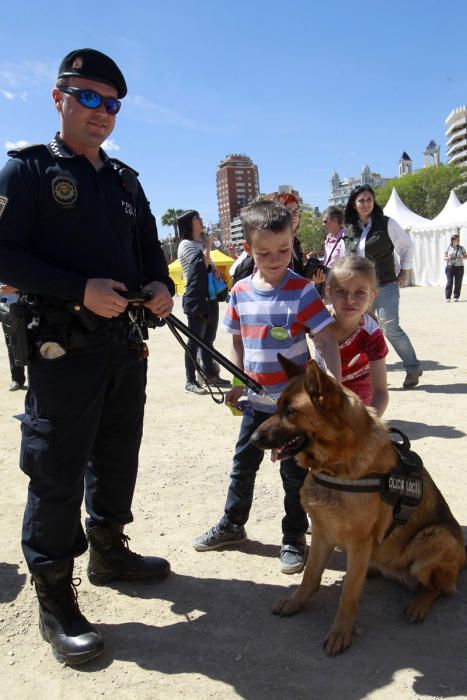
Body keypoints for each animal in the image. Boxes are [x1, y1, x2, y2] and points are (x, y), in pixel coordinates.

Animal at [250, 356, 466, 656]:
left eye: (290, 411)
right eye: (277, 406)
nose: (252, 439)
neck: (338, 465)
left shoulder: (359, 541)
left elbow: (349, 593)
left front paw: (341, 633)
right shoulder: (322, 532)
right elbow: (310, 576)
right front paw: (296, 602)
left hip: (434, 538)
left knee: (439, 588)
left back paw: (419, 604)